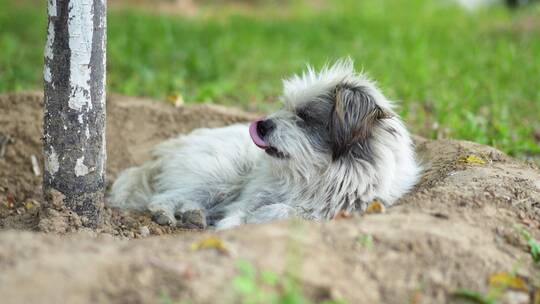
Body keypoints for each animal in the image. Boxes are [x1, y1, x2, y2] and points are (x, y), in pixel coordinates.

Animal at [108, 59, 422, 229]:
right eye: (284, 106)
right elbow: (239, 216)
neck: (311, 177)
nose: (262, 124)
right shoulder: (248, 198)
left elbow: (289, 211)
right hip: (220, 178)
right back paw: (169, 213)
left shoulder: (339, 211)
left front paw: (264, 215)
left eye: (305, 117)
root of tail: (170, 148)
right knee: (162, 197)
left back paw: (193, 215)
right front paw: (231, 228)